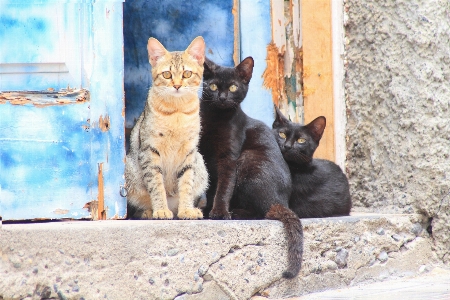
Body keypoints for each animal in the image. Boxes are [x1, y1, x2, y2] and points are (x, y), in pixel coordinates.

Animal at [125, 37, 208, 220]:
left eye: (187, 74)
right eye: (167, 74)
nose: (177, 86)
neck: (177, 111)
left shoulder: (189, 152)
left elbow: (186, 184)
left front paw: (186, 210)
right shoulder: (149, 151)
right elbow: (156, 185)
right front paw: (161, 209)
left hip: (200, 162)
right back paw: (149, 212)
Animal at [200, 56, 302, 278]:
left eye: (233, 87)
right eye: (212, 86)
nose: (222, 97)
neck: (215, 118)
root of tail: (281, 201)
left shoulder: (229, 158)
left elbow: (224, 188)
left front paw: (220, 212)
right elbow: (210, 187)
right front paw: (205, 210)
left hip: (248, 159)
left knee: (262, 212)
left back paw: (236, 212)